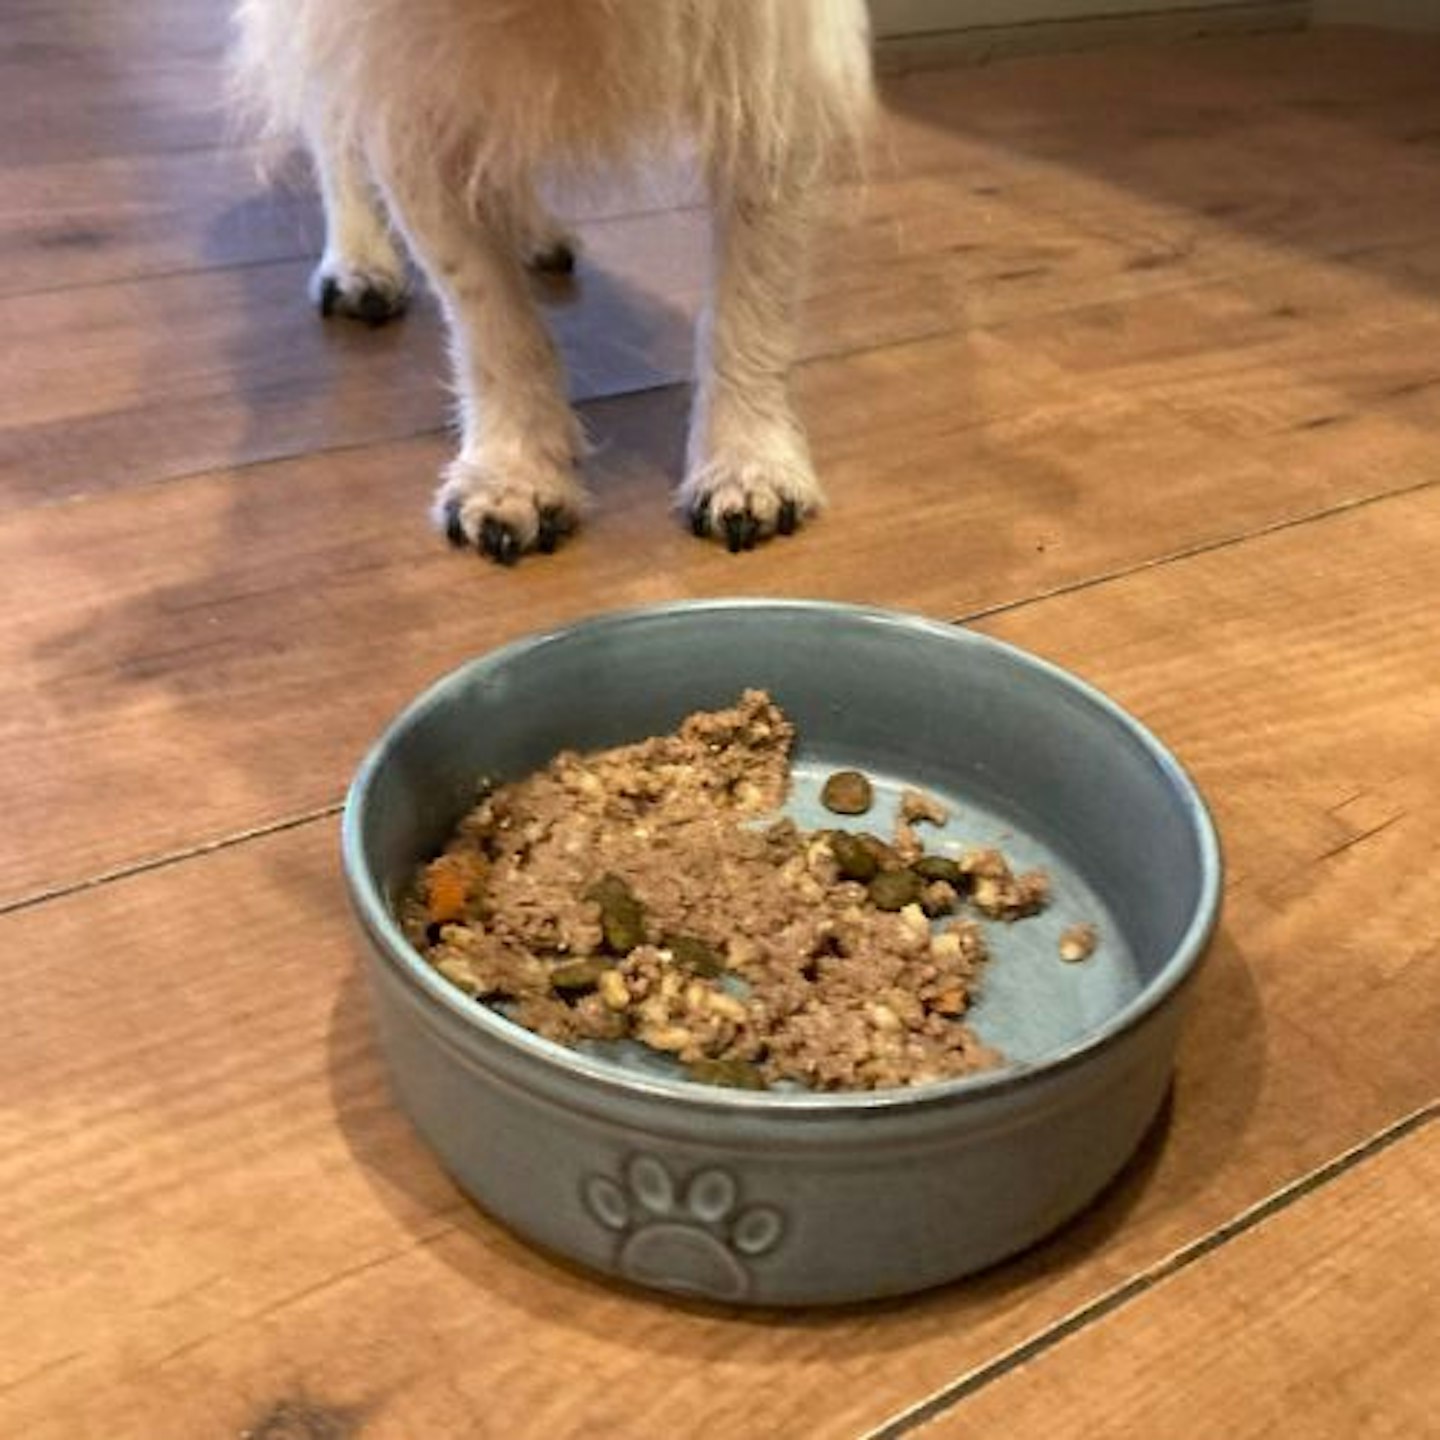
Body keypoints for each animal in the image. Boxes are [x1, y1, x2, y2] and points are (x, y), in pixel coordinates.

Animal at [233, 0, 875, 561]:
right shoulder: (402, 84)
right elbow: (490, 316)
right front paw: (511, 476)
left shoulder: (775, 66)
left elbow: (753, 298)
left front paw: (747, 462)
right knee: (332, 121)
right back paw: (359, 259)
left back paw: (528, 227)